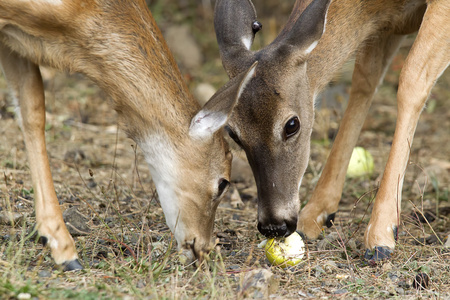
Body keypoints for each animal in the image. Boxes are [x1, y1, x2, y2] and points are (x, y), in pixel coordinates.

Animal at [214, 0, 446, 258]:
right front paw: (315, 214)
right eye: (233, 133)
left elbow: (411, 80)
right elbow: (365, 80)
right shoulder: (386, 25)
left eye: (291, 125)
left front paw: (381, 234)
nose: (274, 226)